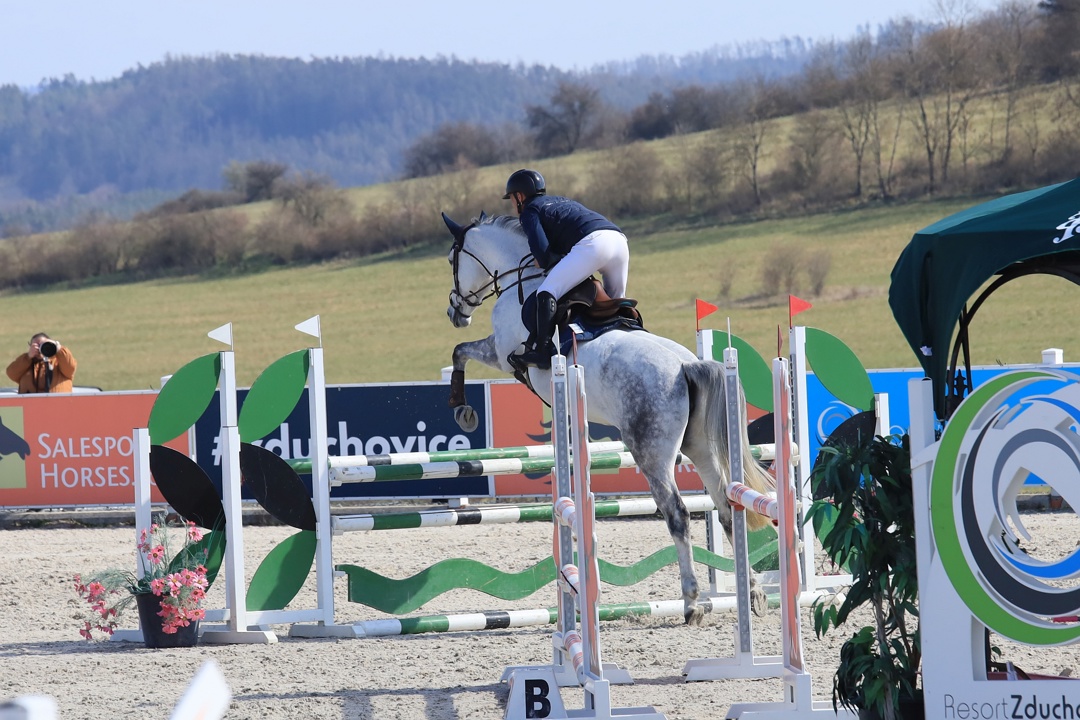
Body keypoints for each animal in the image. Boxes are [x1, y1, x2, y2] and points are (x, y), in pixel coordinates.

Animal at [440, 212, 775, 624]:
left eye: (452, 260)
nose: (455, 312)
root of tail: (686, 363)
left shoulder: (500, 353)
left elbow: (460, 351)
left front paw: (463, 410)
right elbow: (461, 350)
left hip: (651, 452)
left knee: (677, 514)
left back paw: (692, 601)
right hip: (700, 447)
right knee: (727, 506)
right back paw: (754, 592)